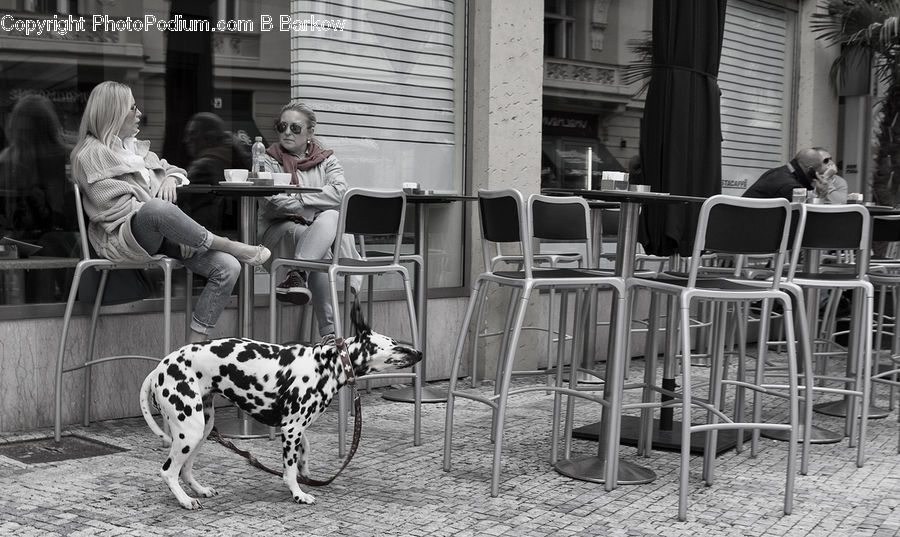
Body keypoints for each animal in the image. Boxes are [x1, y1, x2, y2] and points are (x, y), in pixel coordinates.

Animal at [140, 304, 422, 508]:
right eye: (395, 344)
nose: (419, 353)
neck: (326, 364)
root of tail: (159, 369)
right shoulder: (291, 429)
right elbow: (289, 470)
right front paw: (297, 493)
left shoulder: (294, 428)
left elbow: (303, 452)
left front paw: (304, 468)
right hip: (190, 430)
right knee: (169, 471)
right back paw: (185, 500)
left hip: (202, 428)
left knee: (185, 470)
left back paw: (198, 490)